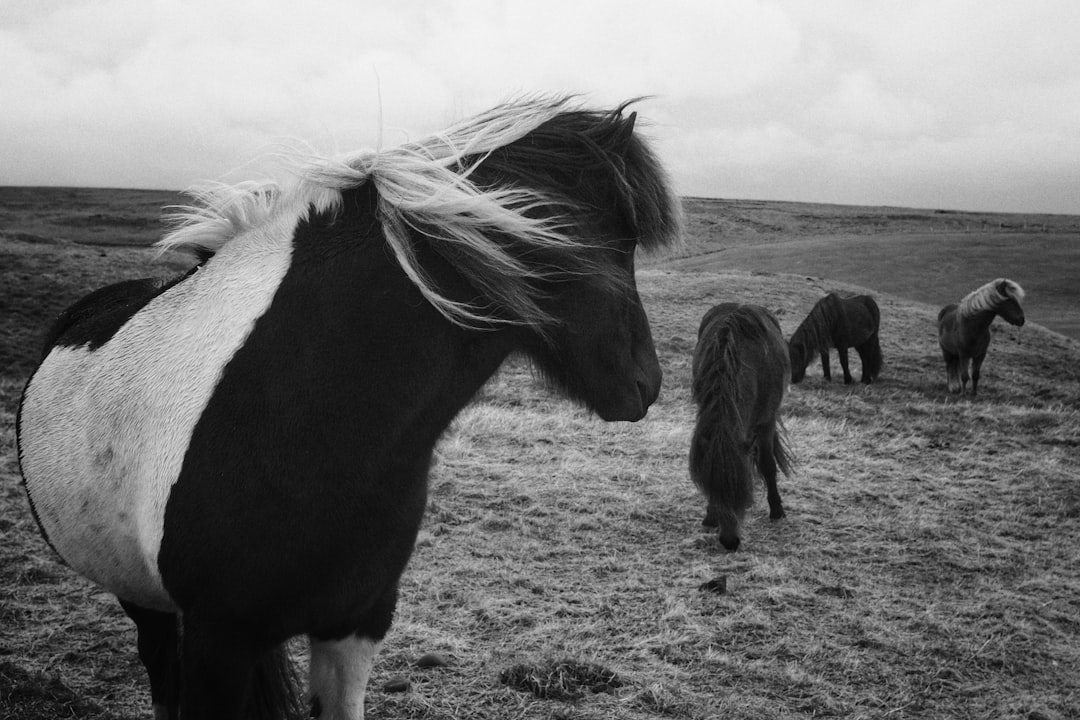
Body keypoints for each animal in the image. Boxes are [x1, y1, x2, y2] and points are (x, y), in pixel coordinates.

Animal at [691, 302, 794, 552]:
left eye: (742, 492)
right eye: (711, 488)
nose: (730, 542)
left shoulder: (766, 423)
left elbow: (767, 466)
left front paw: (777, 511)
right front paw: (710, 517)